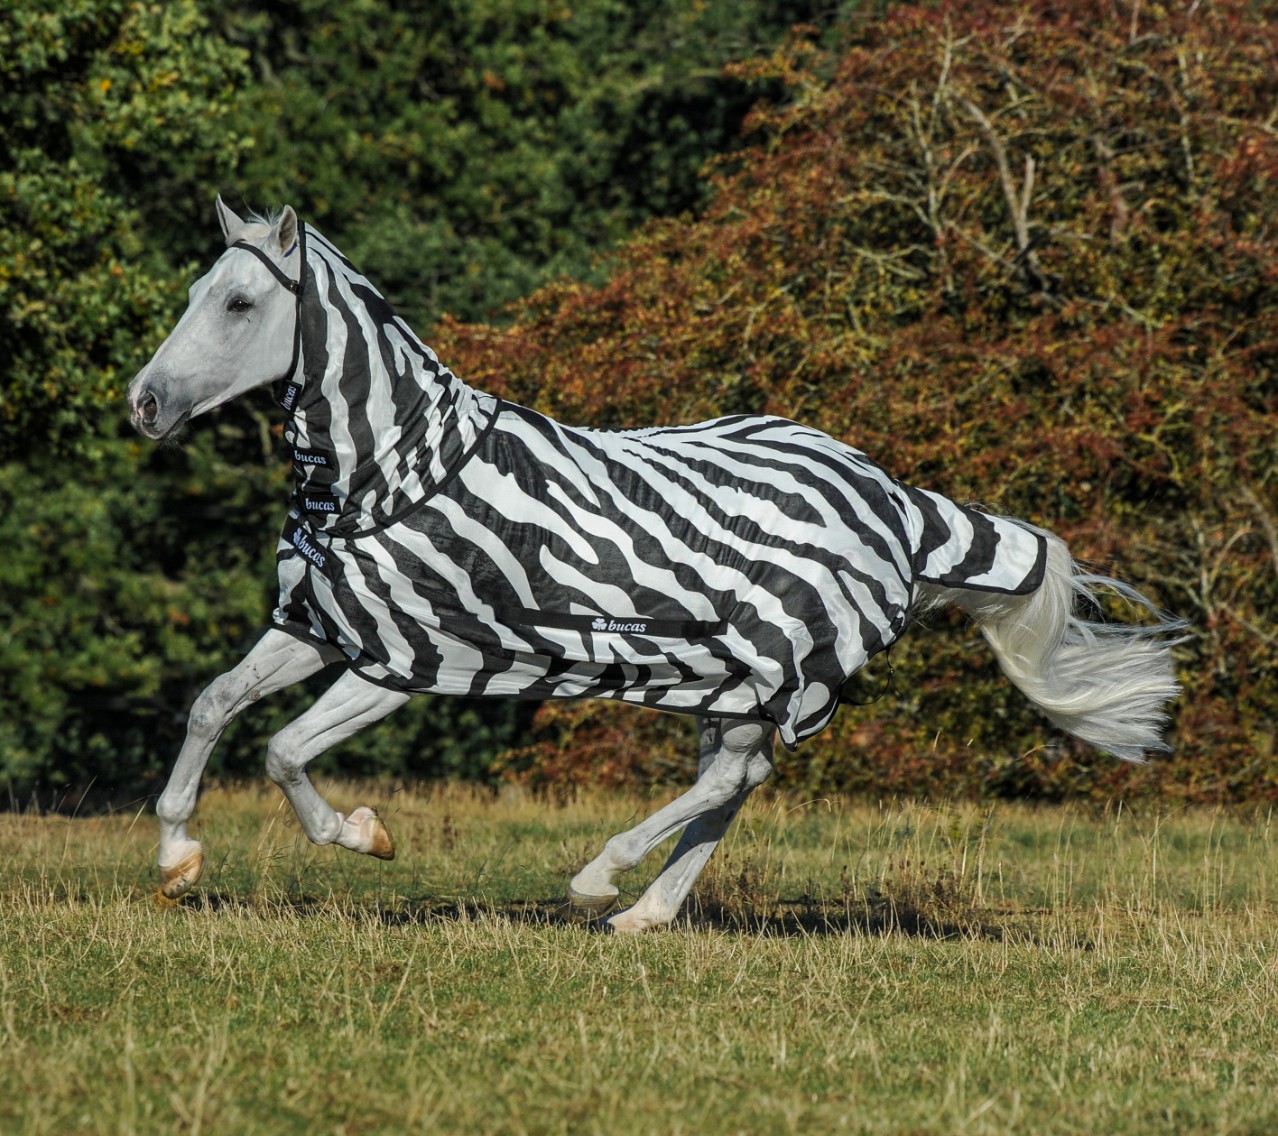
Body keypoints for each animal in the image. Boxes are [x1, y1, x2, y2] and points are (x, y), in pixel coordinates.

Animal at [126, 199, 1183, 931]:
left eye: (240, 302)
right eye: (192, 294)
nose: (144, 404)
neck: (389, 471)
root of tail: (896, 499)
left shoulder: (408, 657)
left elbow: (282, 749)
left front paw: (363, 834)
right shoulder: (317, 627)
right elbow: (214, 707)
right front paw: (177, 858)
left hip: (776, 665)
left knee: (730, 779)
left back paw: (600, 880)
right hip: (736, 678)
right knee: (739, 780)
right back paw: (645, 912)